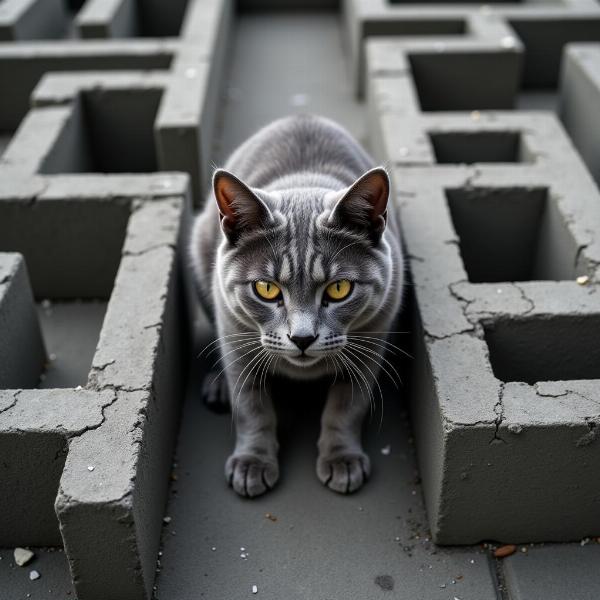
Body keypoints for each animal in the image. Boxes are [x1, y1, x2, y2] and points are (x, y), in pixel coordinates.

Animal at [191, 113, 404, 496]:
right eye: (265, 288)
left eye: (339, 288)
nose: (302, 338)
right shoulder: (234, 338)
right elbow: (251, 406)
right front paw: (252, 464)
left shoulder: (371, 339)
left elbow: (347, 405)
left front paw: (342, 460)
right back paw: (219, 386)